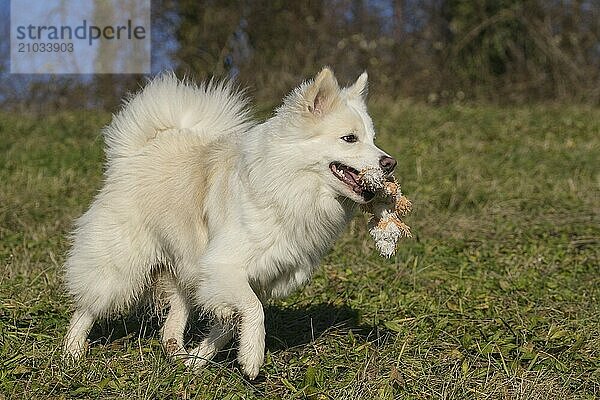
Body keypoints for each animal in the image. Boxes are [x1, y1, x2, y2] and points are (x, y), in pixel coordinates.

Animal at [63, 68, 396, 378]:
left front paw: (200, 359)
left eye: (373, 140)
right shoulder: (223, 267)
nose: (390, 163)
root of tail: (141, 151)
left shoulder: (249, 277)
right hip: (121, 264)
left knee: (171, 322)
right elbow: (253, 310)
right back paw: (72, 352)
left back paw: (176, 354)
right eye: (349, 139)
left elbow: (228, 325)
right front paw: (252, 358)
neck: (289, 185)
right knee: (88, 305)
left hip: (185, 269)